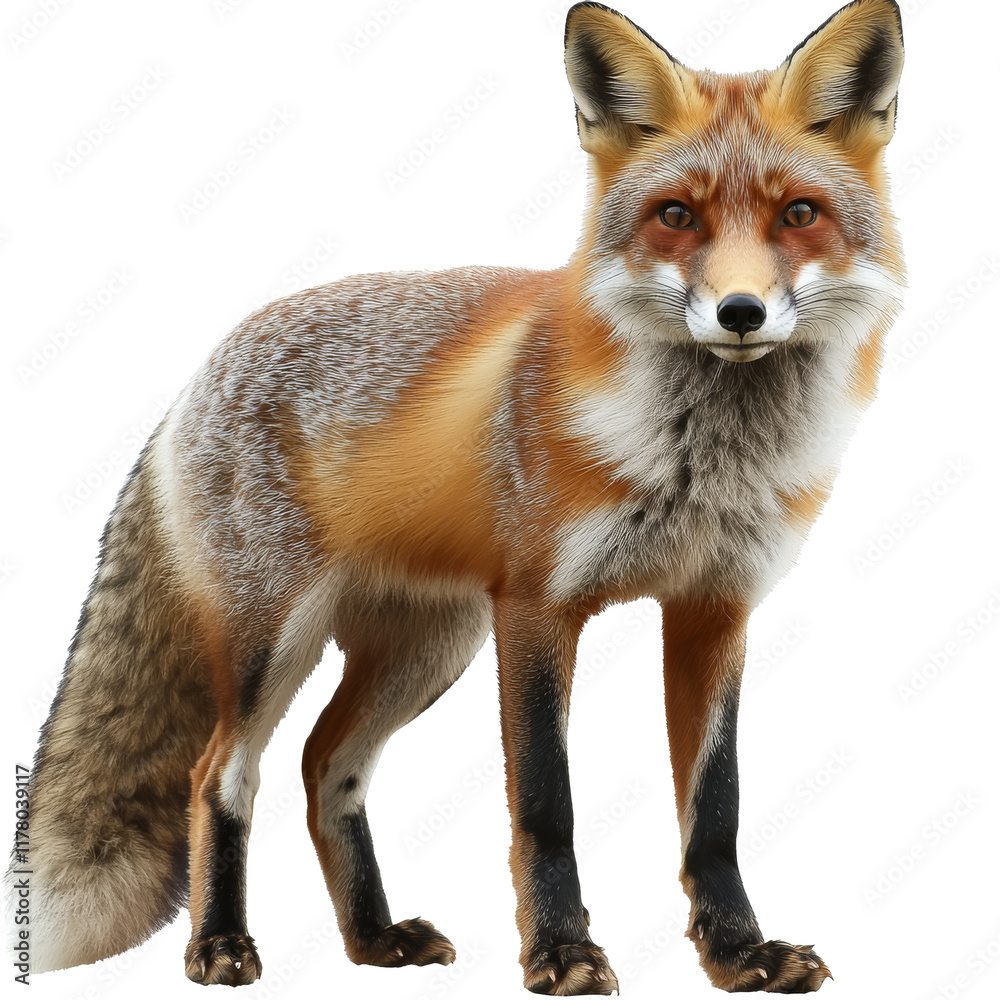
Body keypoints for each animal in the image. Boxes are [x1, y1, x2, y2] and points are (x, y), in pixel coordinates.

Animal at [8, 0, 905, 994]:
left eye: (799, 215)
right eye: (676, 216)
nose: (739, 313)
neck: (697, 461)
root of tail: (200, 372)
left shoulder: (714, 609)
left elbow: (716, 812)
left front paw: (740, 952)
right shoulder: (537, 607)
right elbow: (546, 806)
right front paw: (562, 953)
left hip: (429, 648)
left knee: (327, 766)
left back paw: (372, 939)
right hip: (273, 640)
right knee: (219, 775)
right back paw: (219, 945)